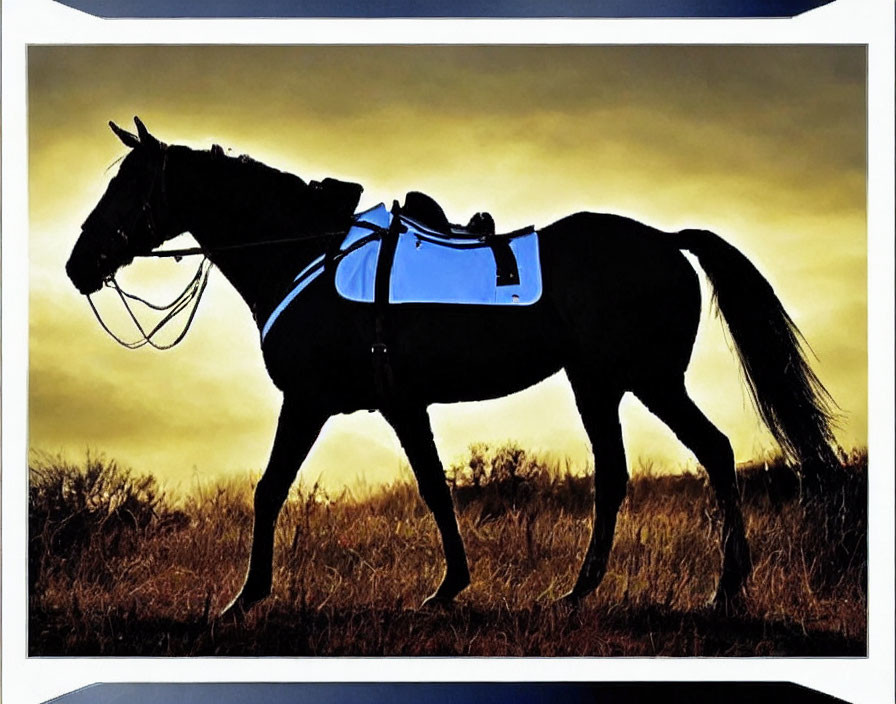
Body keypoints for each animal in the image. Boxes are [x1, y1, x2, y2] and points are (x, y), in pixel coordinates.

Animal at [65, 118, 840, 620]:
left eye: (129, 187)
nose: (79, 265)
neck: (307, 253)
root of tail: (665, 240)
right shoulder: (401, 406)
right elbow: (434, 489)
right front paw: (450, 585)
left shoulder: (311, 400)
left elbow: (270, 489)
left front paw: (243, 598)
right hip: (599, 383)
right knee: (619, 475)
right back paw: (582, 590)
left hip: (645, 380)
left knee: (713, 451)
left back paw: (724, 587)